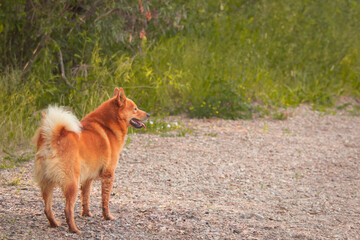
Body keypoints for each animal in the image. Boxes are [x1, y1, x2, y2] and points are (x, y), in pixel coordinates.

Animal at [31, 87, 148, 232]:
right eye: (135, 109)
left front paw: (86, 214)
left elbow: (85, 198)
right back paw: (74, 230)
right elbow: (105, 200)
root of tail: (53, 137)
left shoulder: (87, 179)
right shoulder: (108, 175)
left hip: (47, 183)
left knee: (47, 208)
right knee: (67, 209)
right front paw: (107, 217)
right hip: (71, 183)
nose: (148, 114)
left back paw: (54, 224)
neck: (107, 126)